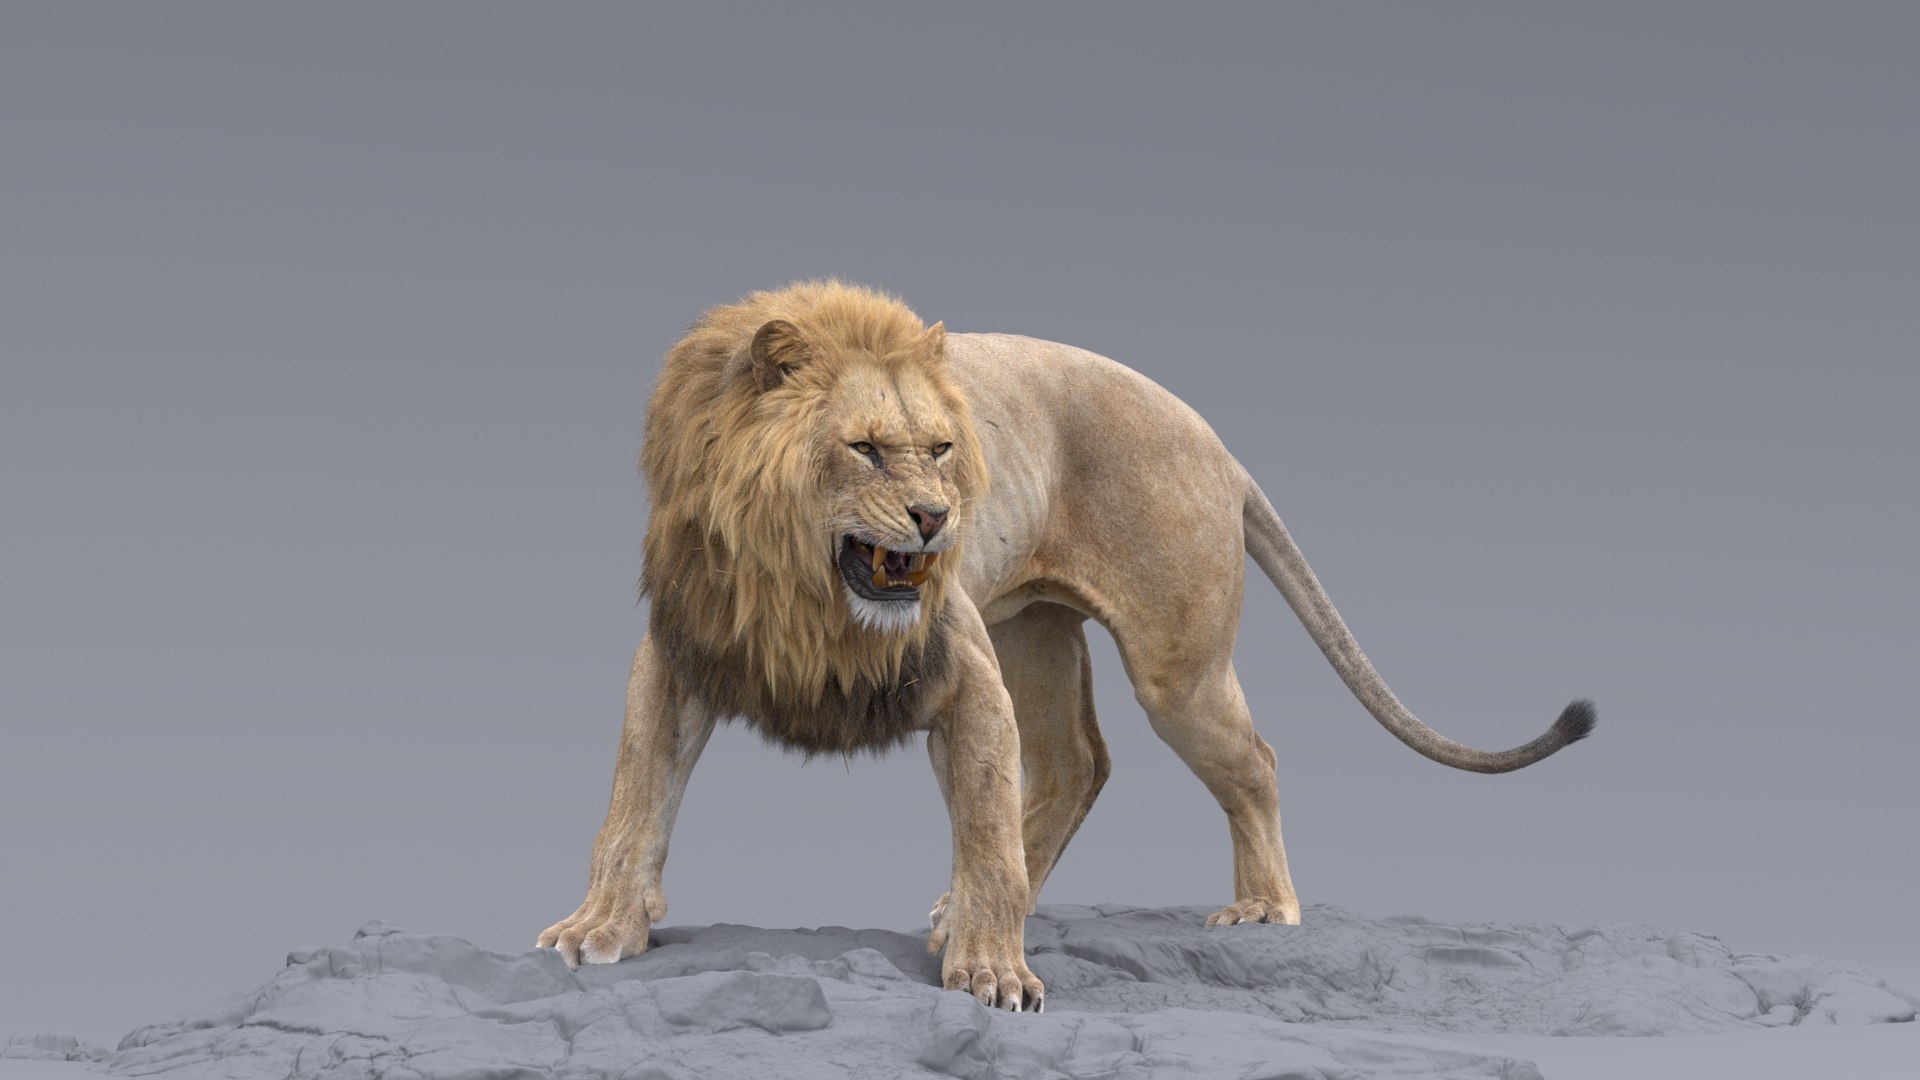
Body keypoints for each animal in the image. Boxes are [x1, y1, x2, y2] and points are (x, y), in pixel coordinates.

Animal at [537, 280, 1596, 1012]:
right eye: (867, 448)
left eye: (941, 448)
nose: (936, 519)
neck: (796, 585)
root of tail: (1221, 447)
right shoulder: (682, 652)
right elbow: (633, 800)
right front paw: (601, 928)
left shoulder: (961, 669)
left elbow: (986, 830)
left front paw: (992, 974)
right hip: (1033, 631)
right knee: (1077, 763)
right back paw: (960, 909)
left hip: (1172, 670)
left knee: (1250, 761)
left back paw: (1261, 908)